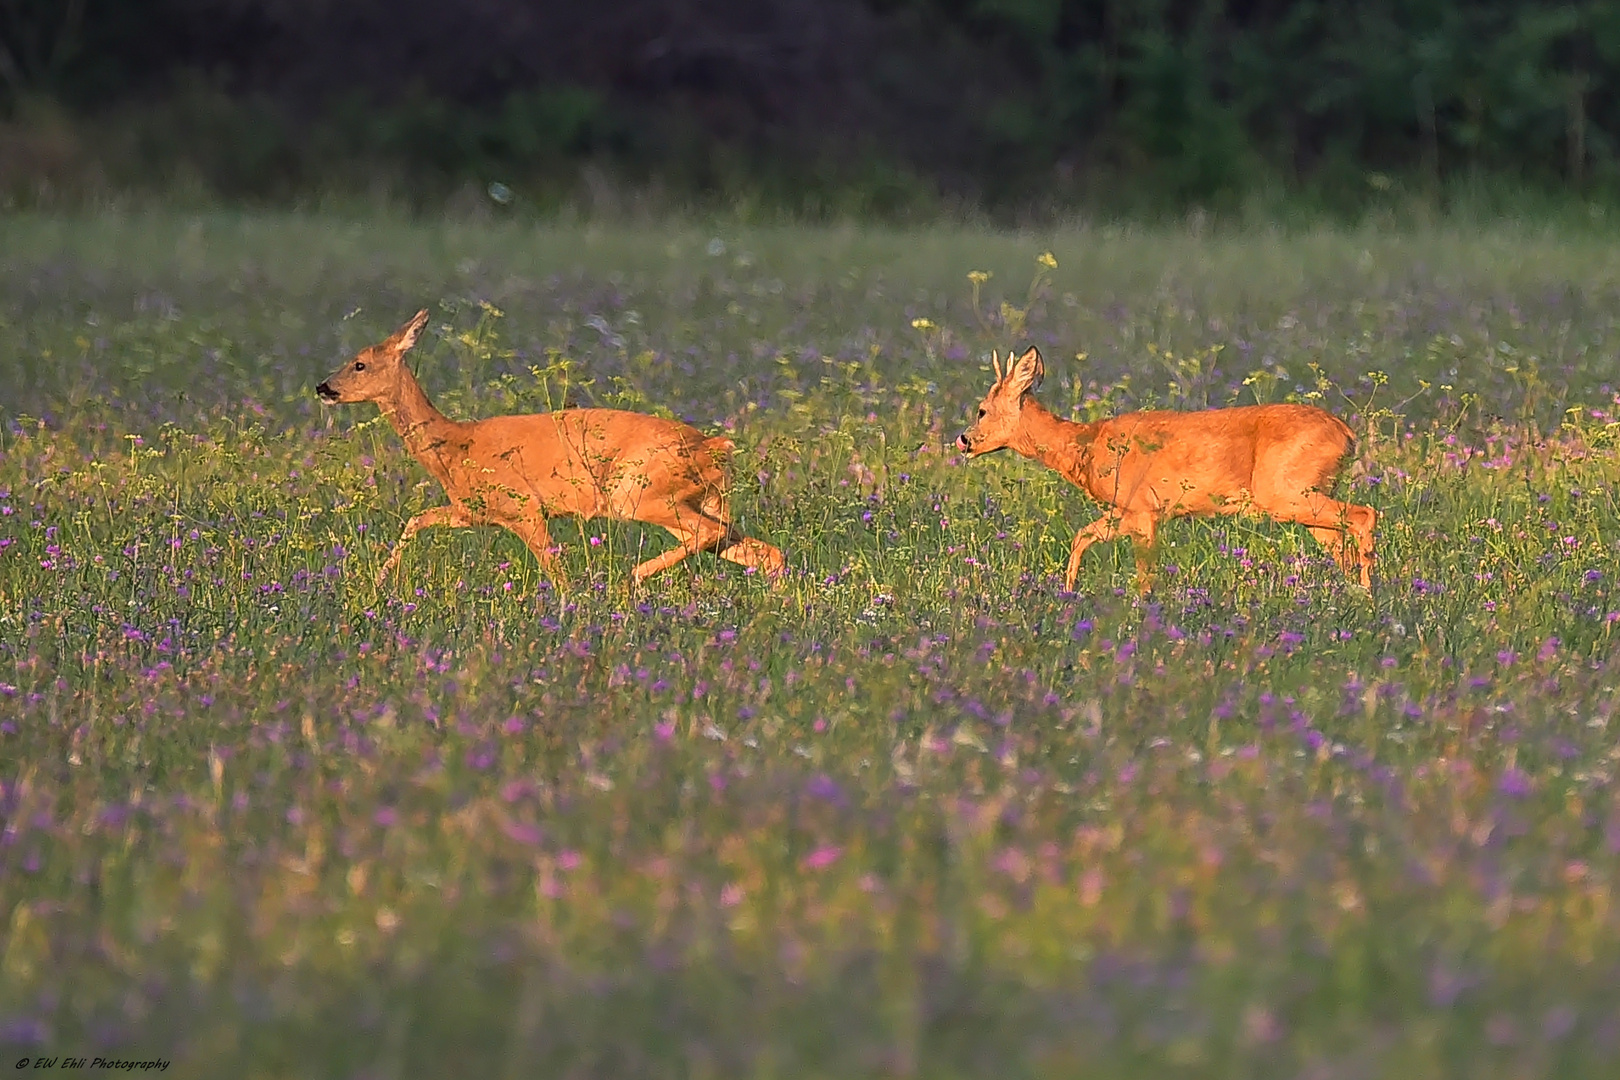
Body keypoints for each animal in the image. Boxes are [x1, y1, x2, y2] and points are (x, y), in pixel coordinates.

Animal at [314, 307, 784, 586]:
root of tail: (717, 445)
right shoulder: (472, 511)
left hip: (638, 491)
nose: (323, 387)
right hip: (697, 498)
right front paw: (378, 582)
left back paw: (633, 576)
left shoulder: (525, 507)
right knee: (761, 550)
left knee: (712, 534)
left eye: (359, 364)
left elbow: (555, 573)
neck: (455, 446)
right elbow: (417, 519)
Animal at [952, 348, 1373, 592]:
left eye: (981, 411)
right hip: (1306, 497)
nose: (963, 440)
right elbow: (1081, 536)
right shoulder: (1127, 510)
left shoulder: (1144, 509)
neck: (1086, 446)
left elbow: (1144, 575)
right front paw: (1069, 591)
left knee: (1364, 515)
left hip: (1285, 491)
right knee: (1343, 541)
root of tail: (1347, 434)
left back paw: (1369, 594)